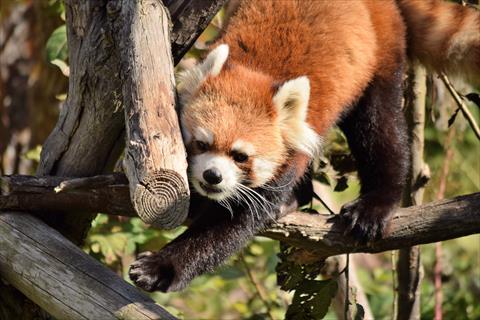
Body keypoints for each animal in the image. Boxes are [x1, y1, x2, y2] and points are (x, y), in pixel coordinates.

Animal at [130, 0, 480, 292]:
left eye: (241, 156)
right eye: (202, 143)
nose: (212, 177)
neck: (258, 72)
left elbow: (228, 227)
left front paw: (162, 267)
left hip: (380, 55)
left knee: (381, 130)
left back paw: (374, 204)